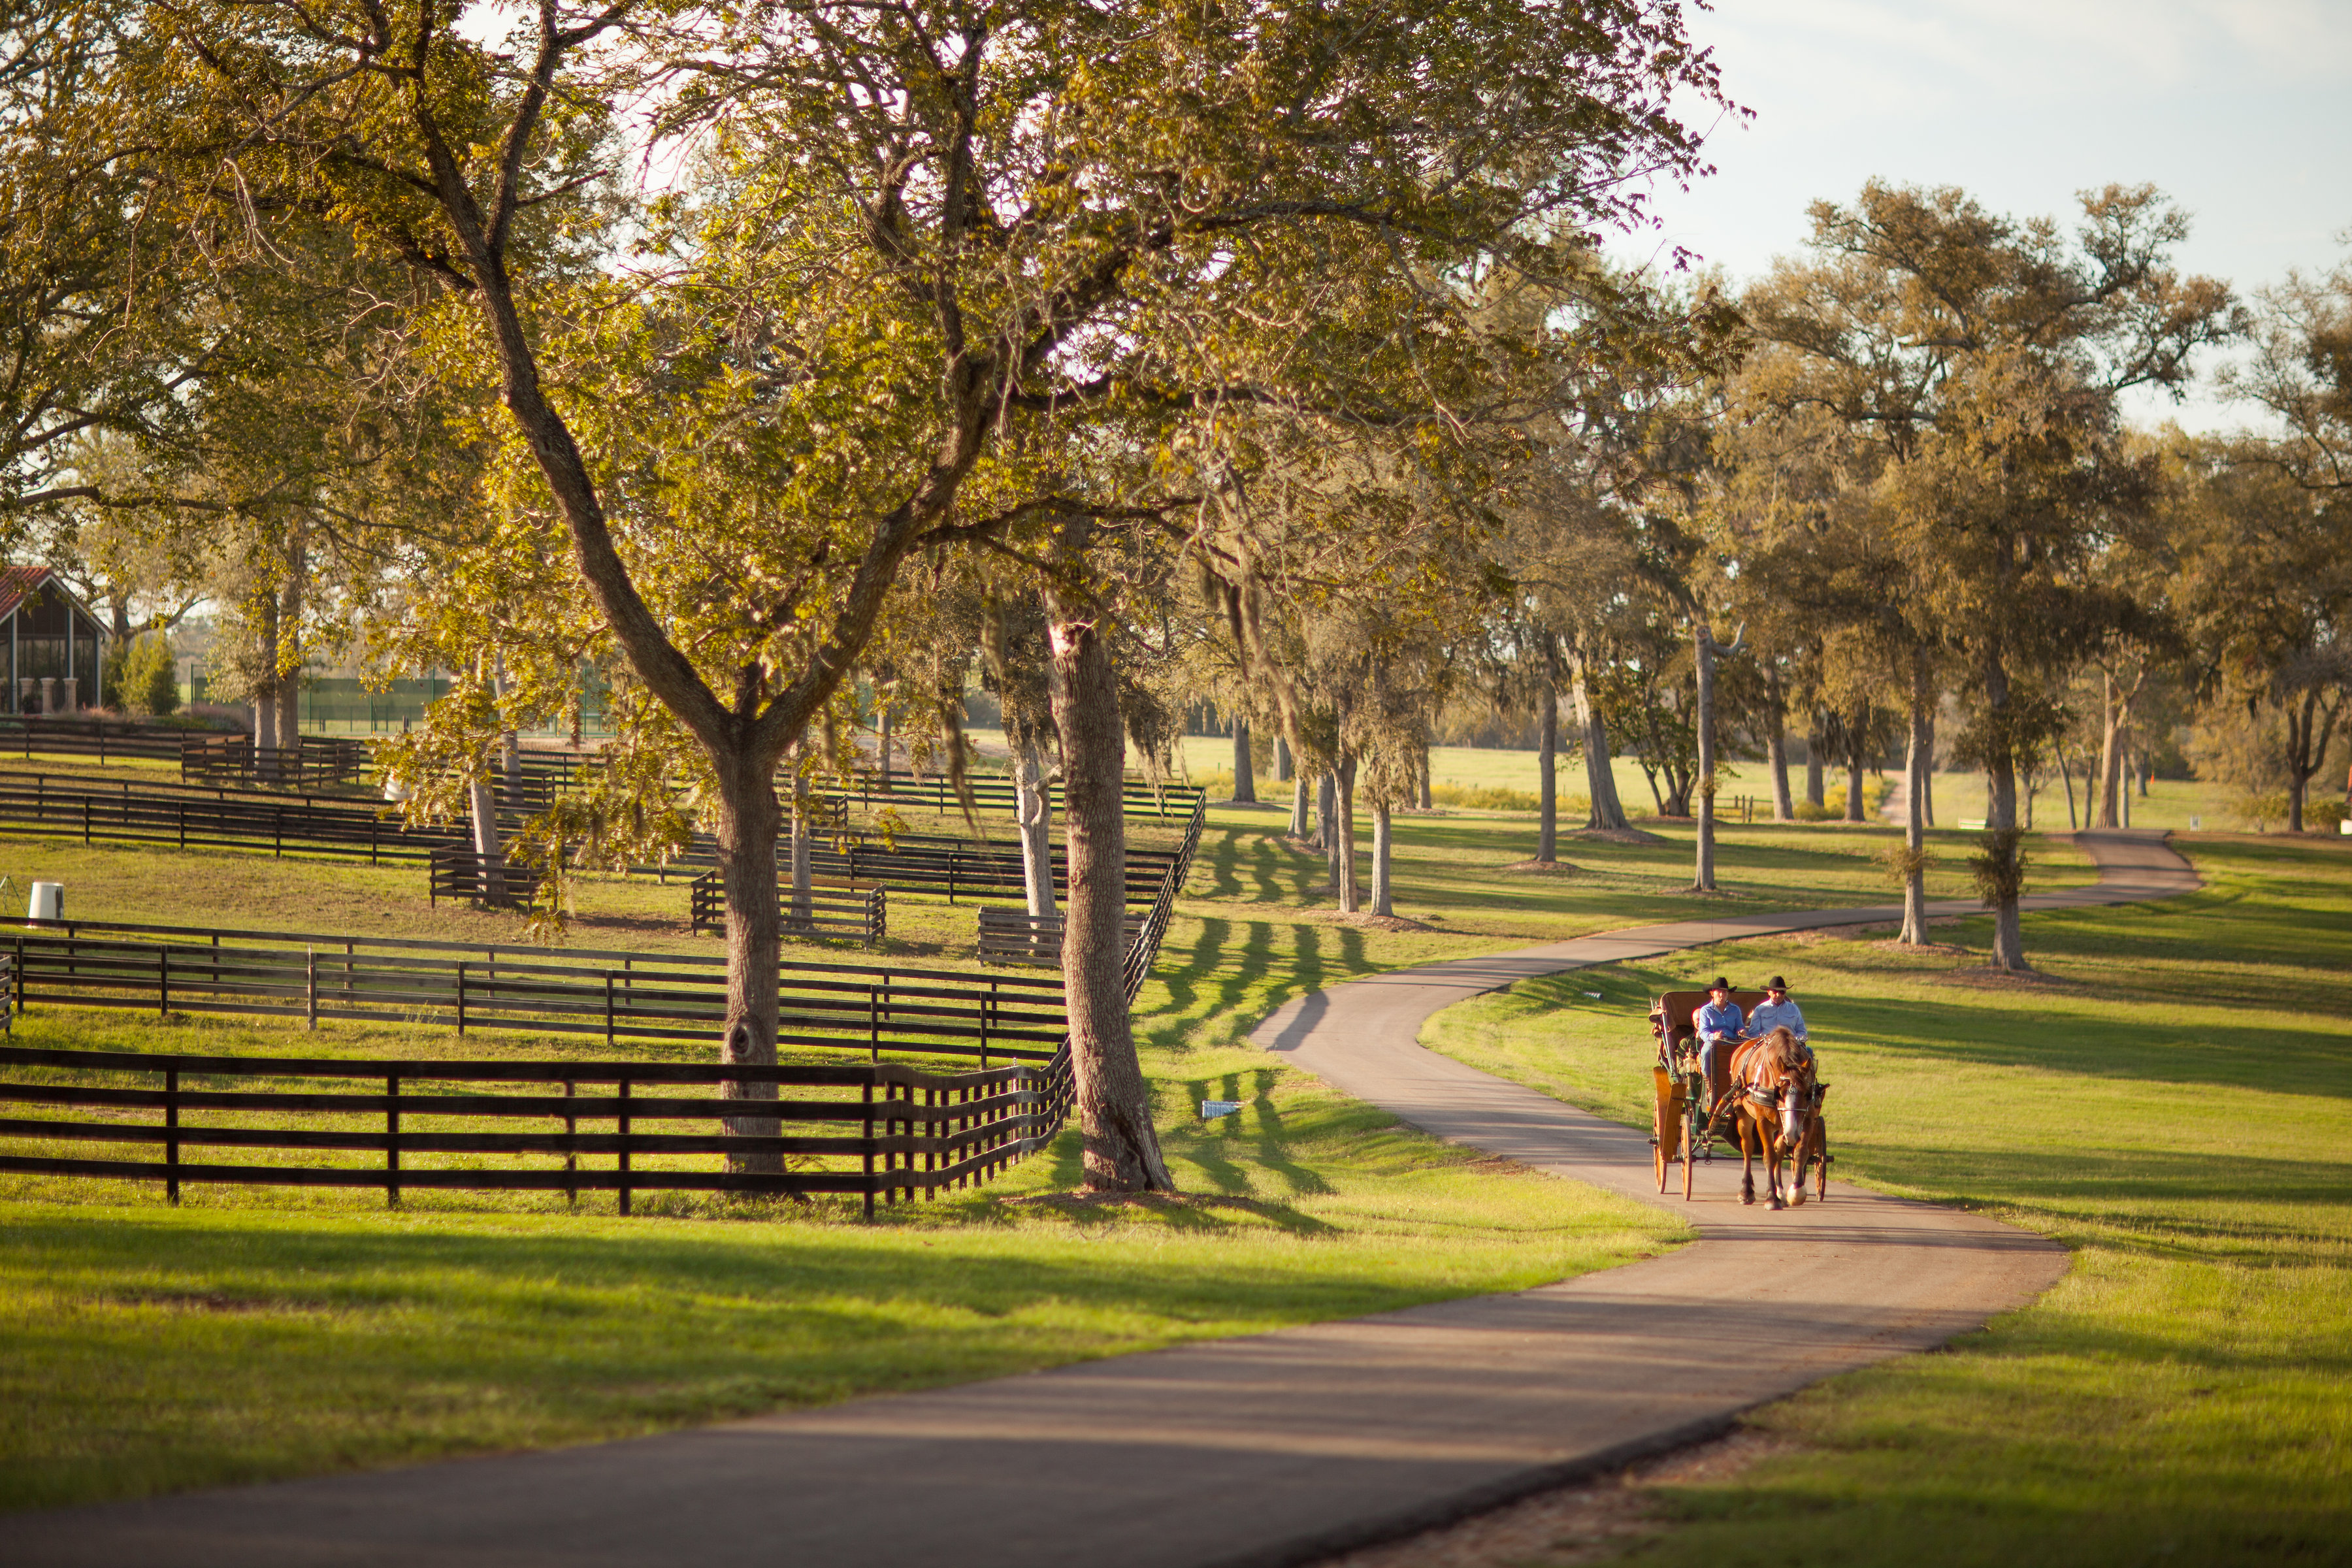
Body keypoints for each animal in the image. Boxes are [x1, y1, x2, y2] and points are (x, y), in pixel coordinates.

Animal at [1712, 1030, 1816, 1213]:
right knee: (1748, 1147)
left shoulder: (1808, 1118)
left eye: (1807, 1093)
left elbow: (1800, 1152)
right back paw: (1747, 1191)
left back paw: (1780, 1189)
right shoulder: (1763, 1121)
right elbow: (1769, 1156)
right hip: (1744, 1115)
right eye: (1779, 1093)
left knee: (1780, 1150)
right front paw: (1771, 1198)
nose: (1792, 1134)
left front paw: (1796, 1191)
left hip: (1782, 1126)